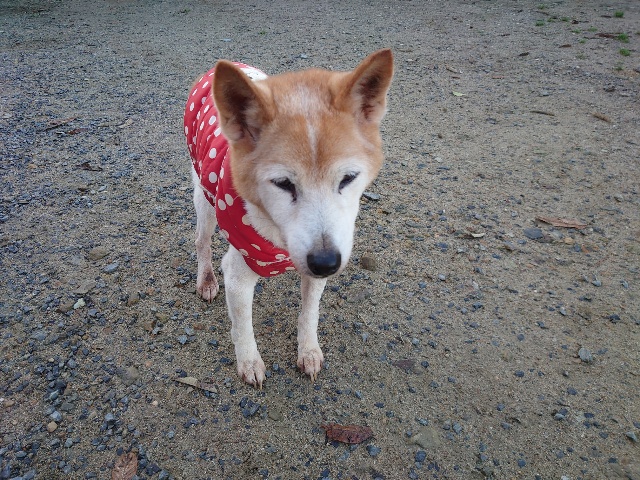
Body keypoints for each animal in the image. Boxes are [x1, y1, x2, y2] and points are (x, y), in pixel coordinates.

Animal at [184, 49, 394, 387]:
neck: (279, 235)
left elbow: (309, 313)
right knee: (201, 241)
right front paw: (249, 363)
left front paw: (308, 351)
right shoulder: (237, 275)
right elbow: (243, 327)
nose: (326, 262)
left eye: (348, 178)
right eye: (283, 183)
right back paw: (206, 280)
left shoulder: (321, 261)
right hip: (204, 198)